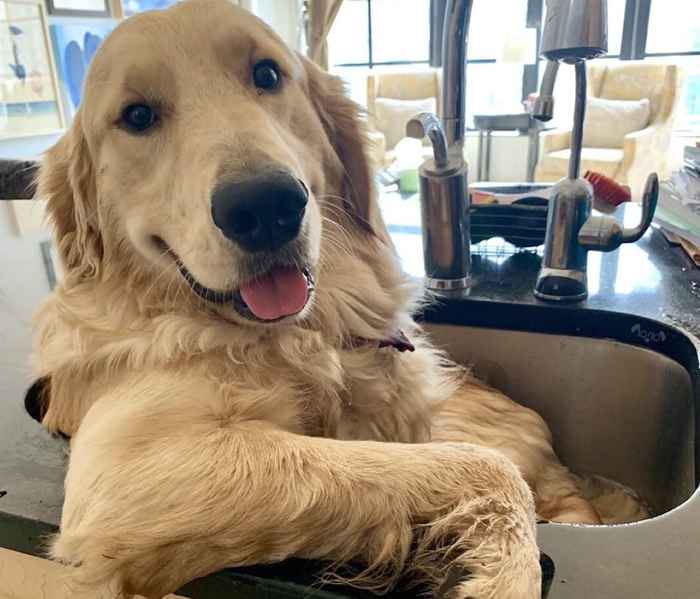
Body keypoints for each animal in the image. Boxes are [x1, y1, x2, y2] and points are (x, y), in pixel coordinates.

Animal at [30, 2, 628, 596]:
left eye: (267, 75)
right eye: (136, 117)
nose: (265, 206)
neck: (303, 332)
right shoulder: (130, 466)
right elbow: (485, 466)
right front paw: (506, 573)